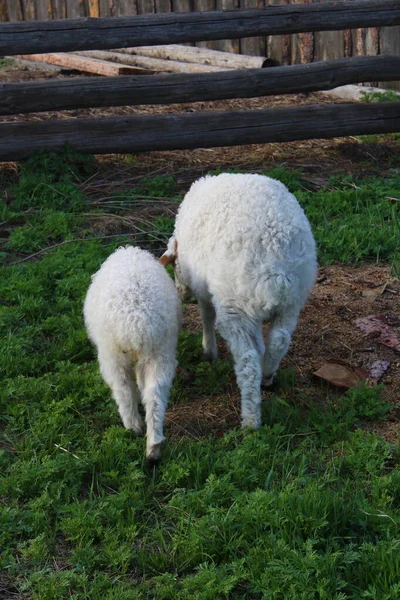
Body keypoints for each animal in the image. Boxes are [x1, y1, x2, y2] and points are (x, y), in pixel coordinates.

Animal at [84, 246, 181, 462]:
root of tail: (136, 320)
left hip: (112, 355)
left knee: (122, 389)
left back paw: (133, 426)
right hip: (159, 352)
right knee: (155, 394)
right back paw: (153, 447)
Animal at [161, 171, 318, 428]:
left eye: (173, 266)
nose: (180, 292)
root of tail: (274, 262)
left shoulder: (205, 289)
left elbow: (206, 317)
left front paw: (209, 351)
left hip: (236, 307)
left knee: (247, 361)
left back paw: (251, 419)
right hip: (292, 301)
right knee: (279, 339)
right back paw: (268, 375)